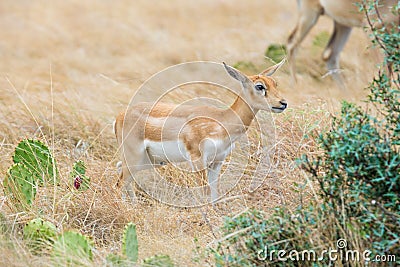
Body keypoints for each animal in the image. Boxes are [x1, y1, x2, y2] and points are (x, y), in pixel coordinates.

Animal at [113, 61, 288, 205]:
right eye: (260, 86)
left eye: (275, 83)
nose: (283, 103)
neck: (221, 120)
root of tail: (120, 116)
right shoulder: (197, 159)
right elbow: (205, 192)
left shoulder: (217, 161)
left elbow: (214, 194)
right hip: (134, 159)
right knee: (119, 184)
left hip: (145, 162)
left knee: (122, 174)